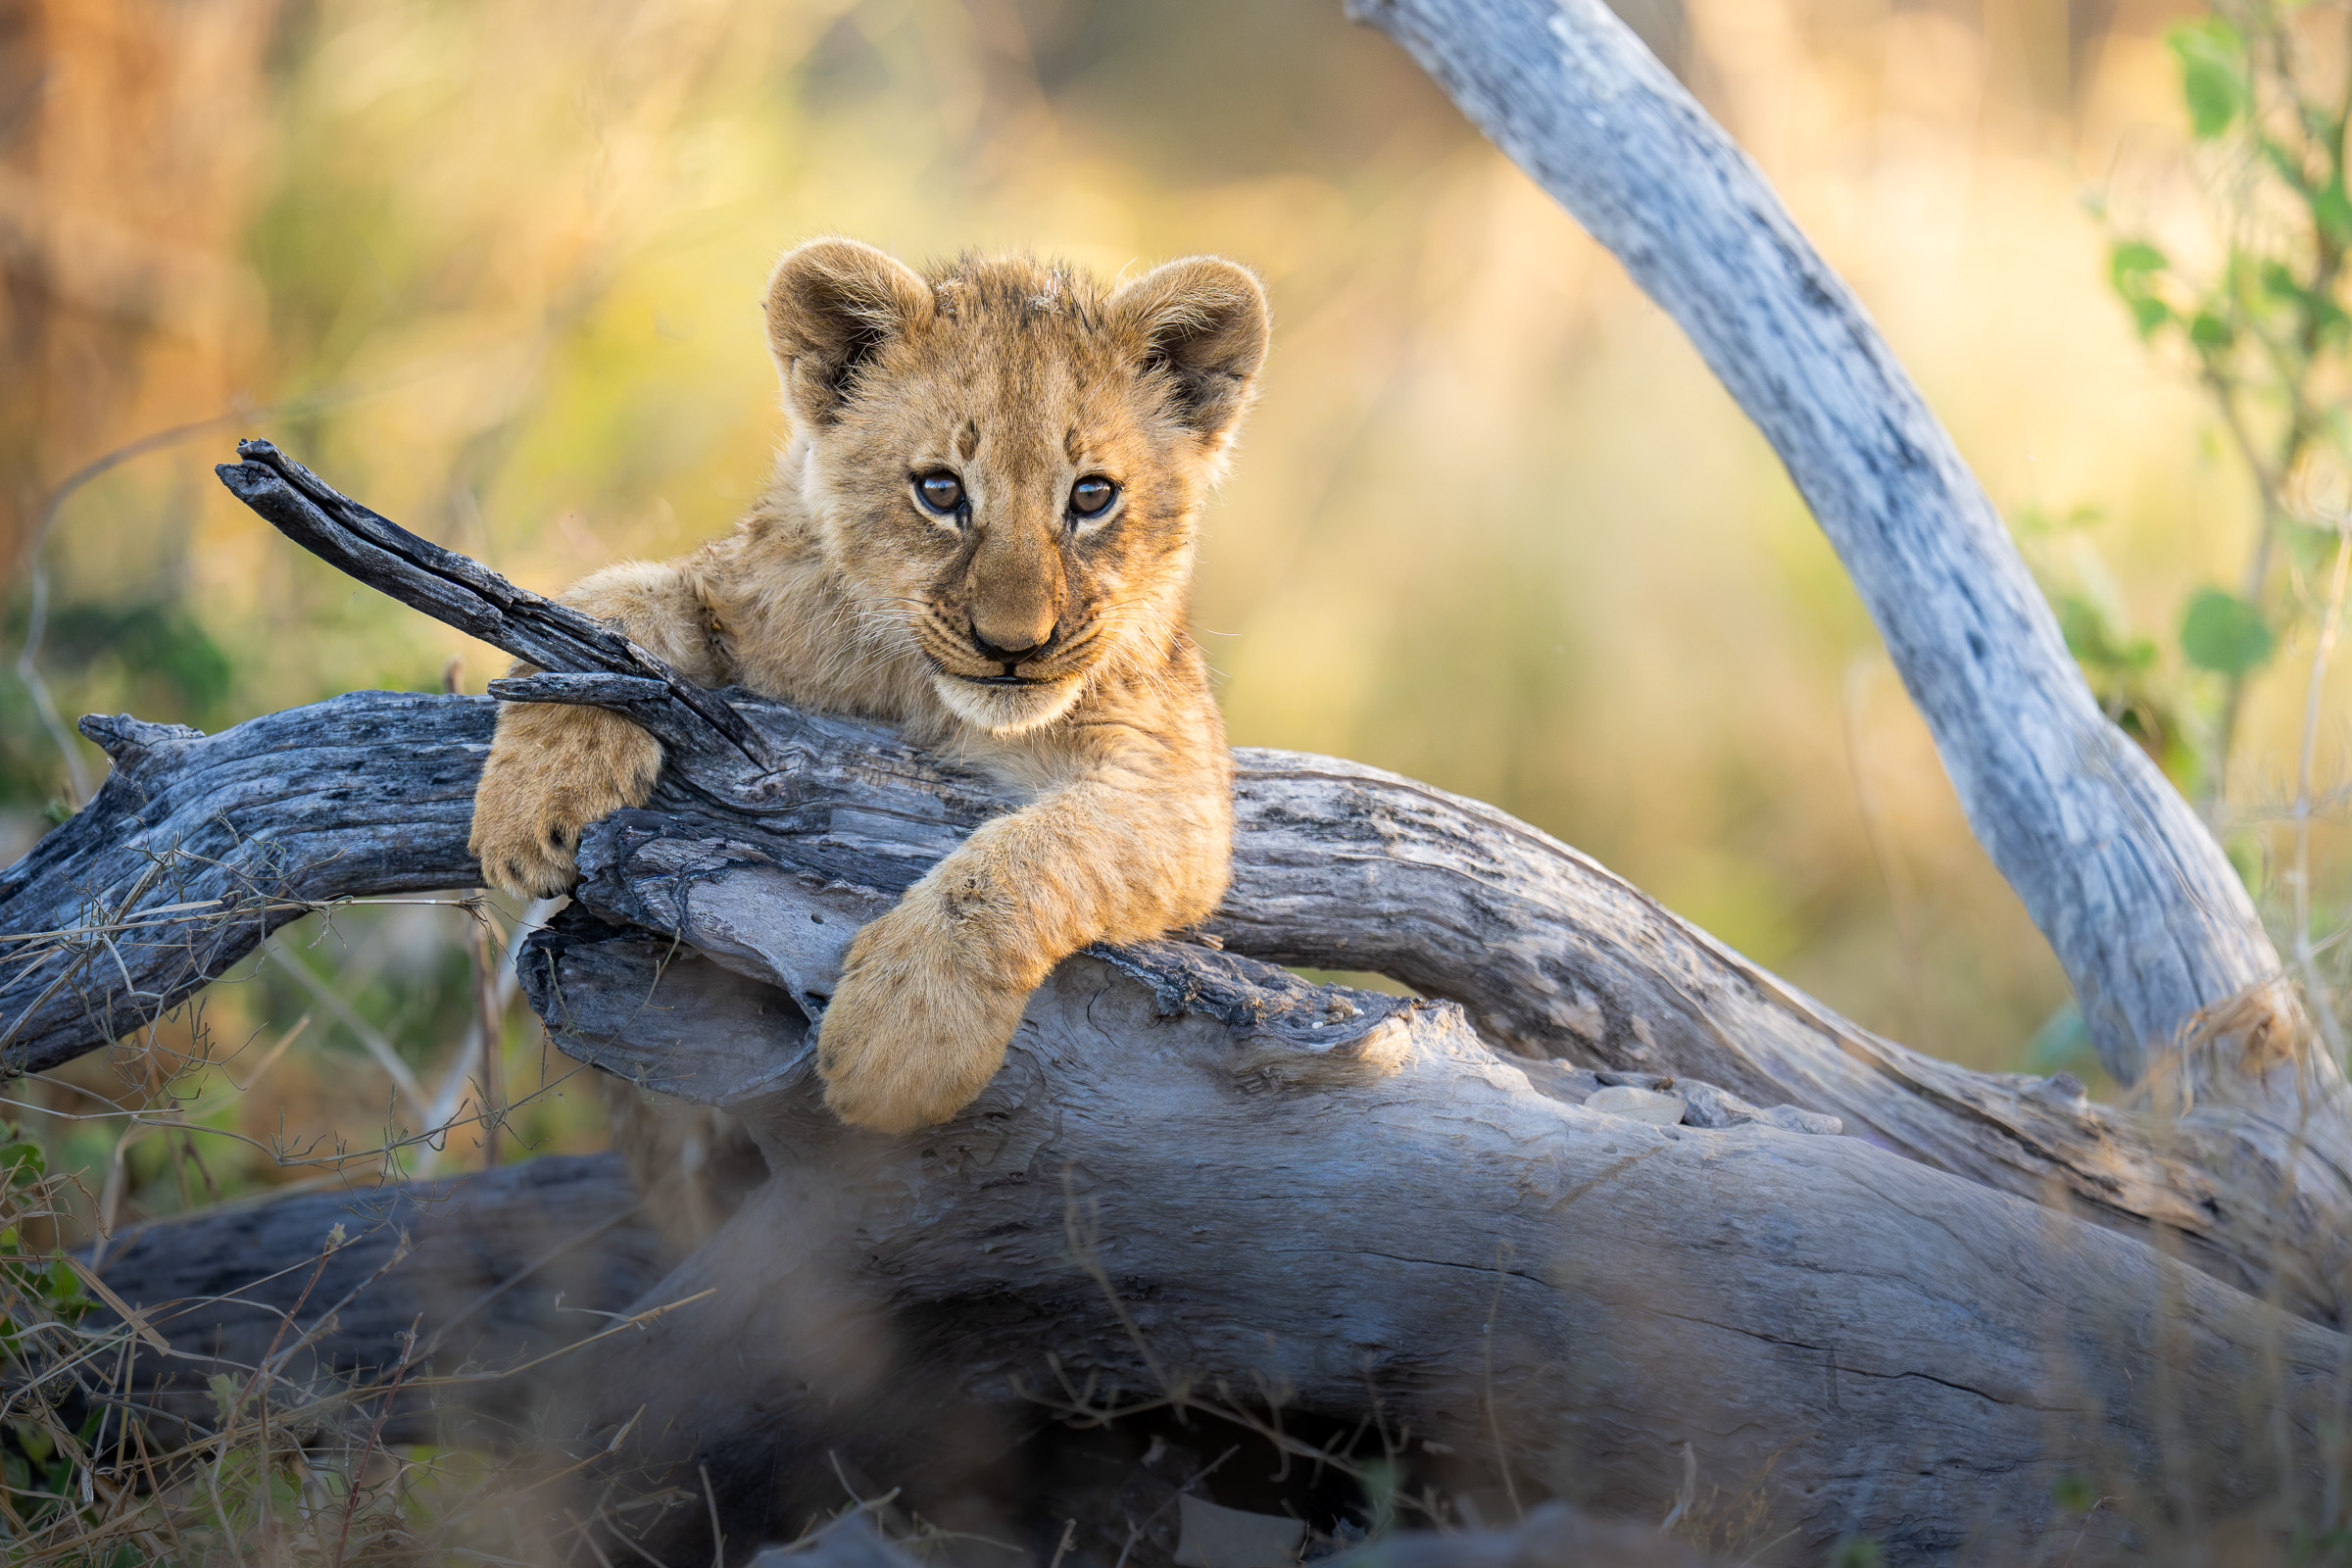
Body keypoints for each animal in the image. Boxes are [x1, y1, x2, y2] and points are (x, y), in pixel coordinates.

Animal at [470, 237, 1269, 1157]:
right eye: (940, 491)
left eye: (1092, 495)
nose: (1013, 647)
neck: (921, 694)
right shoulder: (739, 591)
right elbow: (611, 598)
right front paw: (533, 810)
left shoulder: (1173, 774)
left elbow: (1024, 858)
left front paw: (904, 1041)